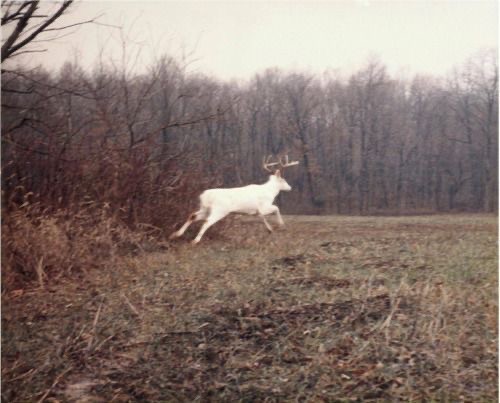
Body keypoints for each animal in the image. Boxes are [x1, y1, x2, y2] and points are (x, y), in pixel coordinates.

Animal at [170, 155, 298, 245]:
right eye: (284, 180)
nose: (290, 187)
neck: (270, 192)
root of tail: (205, 196)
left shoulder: (256, 211)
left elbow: (261, 217)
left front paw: (270, 229)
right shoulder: (263, 206)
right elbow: (276, 208)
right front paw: (281, 225)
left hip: (205, 209)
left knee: (193, 215)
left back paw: (176, 234)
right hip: (219, 210)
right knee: (207, 222)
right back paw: (195, 241)